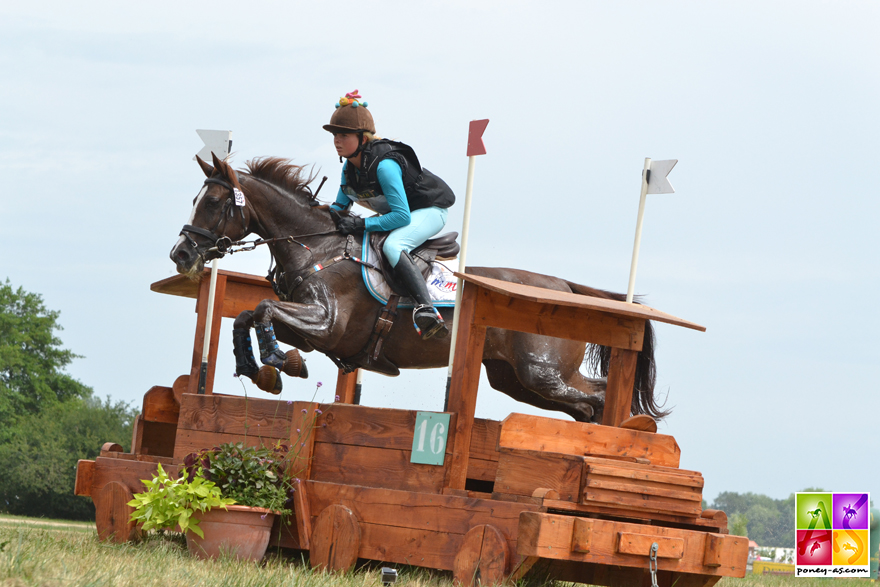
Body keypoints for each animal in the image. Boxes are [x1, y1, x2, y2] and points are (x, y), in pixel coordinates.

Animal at [167, 154, 668, 424]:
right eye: (195, 200)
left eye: (214, 202)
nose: (181, 254)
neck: (315, 245)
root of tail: (564, 287)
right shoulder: (314, 332)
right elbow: (251, 314)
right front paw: (260, 367)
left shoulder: (328, 324)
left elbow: (265, 310)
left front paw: (275, 362)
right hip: (517, 380)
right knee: (587, 403)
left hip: (540, 372)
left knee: (599, 398)